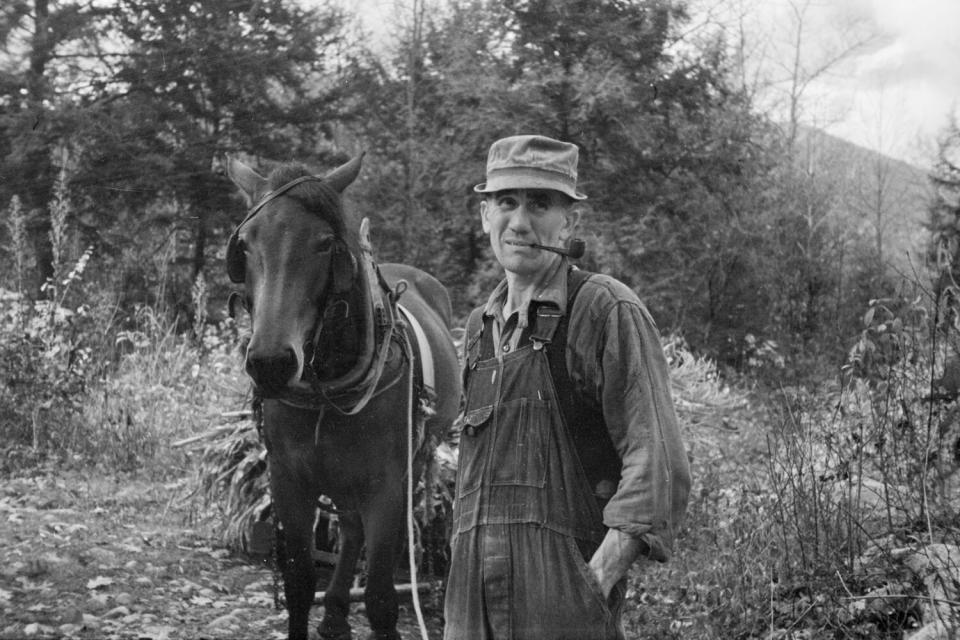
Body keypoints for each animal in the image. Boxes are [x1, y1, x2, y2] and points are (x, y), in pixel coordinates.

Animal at [227, 151, 464, 640]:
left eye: (324, 244)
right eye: (244, 246)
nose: (271, 362)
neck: (327, 386)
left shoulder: (386, 484)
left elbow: (380, 599)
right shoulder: (289, 479)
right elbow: (299, 583)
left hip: (414, 458)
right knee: (351, 528)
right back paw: (335, 611)